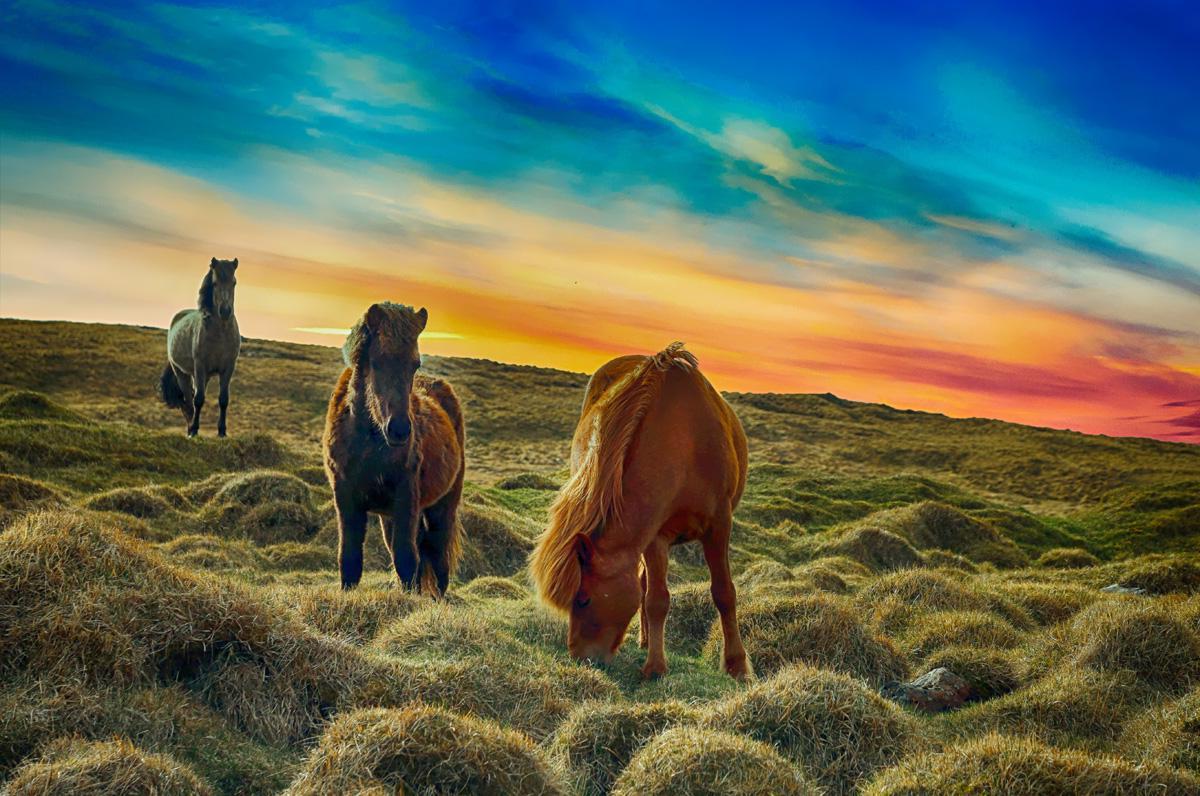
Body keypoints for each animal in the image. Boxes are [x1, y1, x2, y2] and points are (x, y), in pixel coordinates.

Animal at [159, 257, 241, 437]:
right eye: (215, 283)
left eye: (234, 282)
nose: (225, 311)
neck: (220, 333)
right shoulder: (200, 365)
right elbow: (198, 400)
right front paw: (195, 430)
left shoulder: (228, 368)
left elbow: (223, 399)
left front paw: (222, 431)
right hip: (182, 373)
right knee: (189, 402)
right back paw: (190, 429)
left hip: (203, 376)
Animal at [323, 302, 465, 596]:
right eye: (376, 361)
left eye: (415, 364)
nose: (399, 430)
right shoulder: (345, 498)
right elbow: (350, 559)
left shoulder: (405, 499)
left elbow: (407, 560)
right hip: (390, 516)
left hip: (442, 506)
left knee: (438, 556)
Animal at [530, 342, 752, 680]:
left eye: (583, 599)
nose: (580, 657)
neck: (685, 441)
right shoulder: (655, 535)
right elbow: (656, 600)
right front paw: (656, 667)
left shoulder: (719, 525)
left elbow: (724, 593)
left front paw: (736, 665)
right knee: (647, 585)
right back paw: (647, 641)